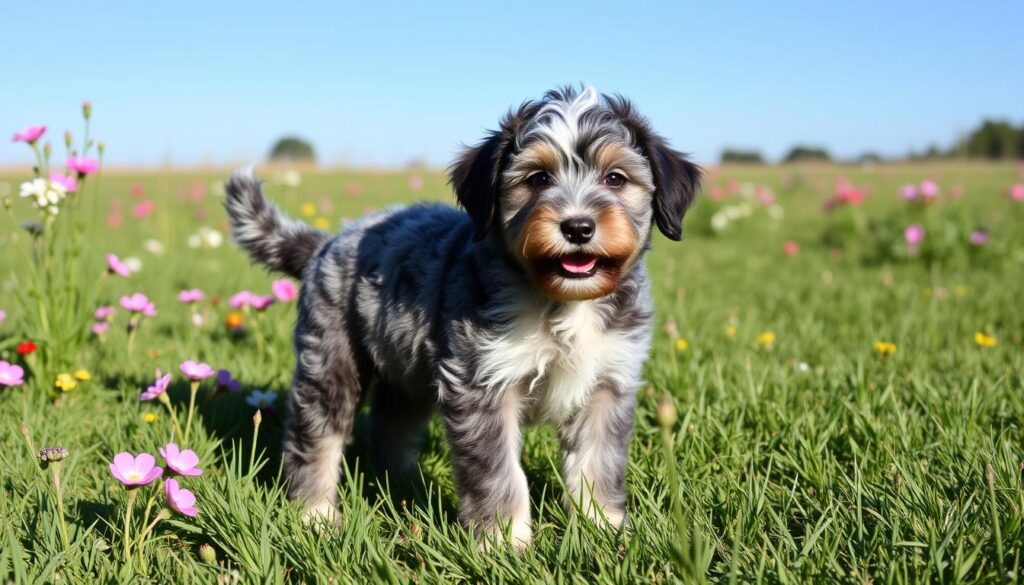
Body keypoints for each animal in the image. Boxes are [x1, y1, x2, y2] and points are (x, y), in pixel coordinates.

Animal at [225, 84, 700, 553]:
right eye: (538, 178)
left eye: (615, 178)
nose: (578, 227)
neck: (559, 302)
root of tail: (327, 242)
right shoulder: (482, 384)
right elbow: (499, 473)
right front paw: (503, 544)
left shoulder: (607, 385)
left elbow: (597, 465)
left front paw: (604, 529)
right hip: (331, 361)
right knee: (315, 436)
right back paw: (316, 515)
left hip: (406, 370)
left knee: (390, 423)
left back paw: (403, 483)